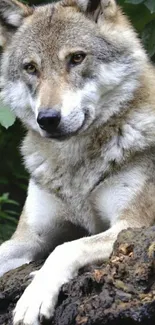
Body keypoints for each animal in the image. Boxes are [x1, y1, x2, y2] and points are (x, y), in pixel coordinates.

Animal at [0, 0, 155, 322]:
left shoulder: (131, 226)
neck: (74, 166)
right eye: (31, 68)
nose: (47, 119)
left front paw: (34, 297)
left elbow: (66, 248)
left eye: (77, 58)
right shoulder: (28, 238)